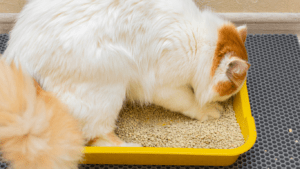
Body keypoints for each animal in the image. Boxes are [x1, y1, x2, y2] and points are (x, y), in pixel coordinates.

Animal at [2, 0, 251, 147]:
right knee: (98, 134)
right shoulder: (163, 86)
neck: (197, 39)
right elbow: (189, 101)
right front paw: (208, 110)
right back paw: (131, 147)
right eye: (231, 91)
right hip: (109, 86)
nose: (229, 99)